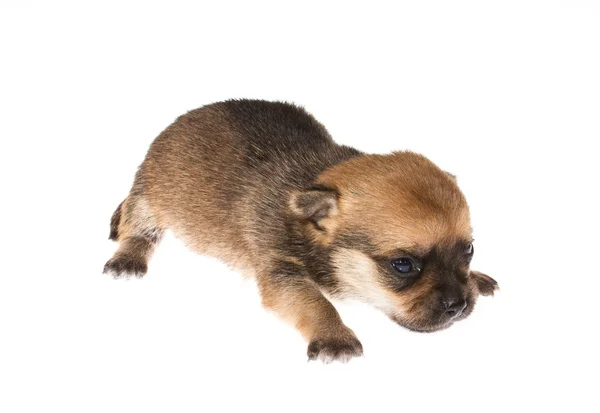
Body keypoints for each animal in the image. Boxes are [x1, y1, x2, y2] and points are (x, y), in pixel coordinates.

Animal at [103, 99, 496, 360]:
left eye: (469, 250)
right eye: (403, 265)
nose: (459, 305)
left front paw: (477, 278)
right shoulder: (281, 271)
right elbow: (315, 302)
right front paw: (334, 337)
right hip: (150, 199)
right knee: (136, 228)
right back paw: (128, 258)